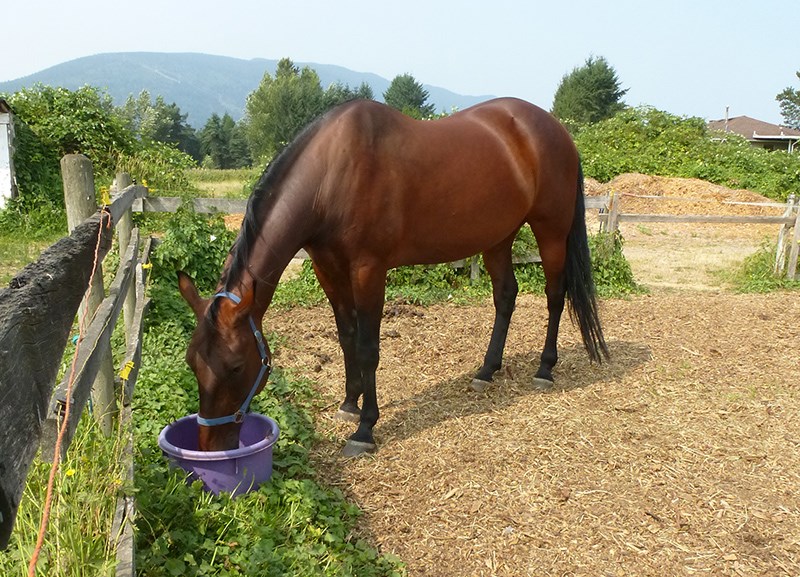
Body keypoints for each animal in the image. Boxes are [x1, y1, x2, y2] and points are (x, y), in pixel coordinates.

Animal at [178, 97, 608, 454]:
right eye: (192, 362)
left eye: (236, 366)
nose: (212, 447)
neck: (333, 174)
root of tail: (557, 130)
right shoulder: (327, 268)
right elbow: (347, 337)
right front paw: (349, 403)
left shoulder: (369, 270)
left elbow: (368, 347)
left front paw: (365, 430)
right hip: (498, 237)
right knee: (506, 295)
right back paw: (486, 371)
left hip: (550, 230)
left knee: (555, 295)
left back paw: (545, 369)